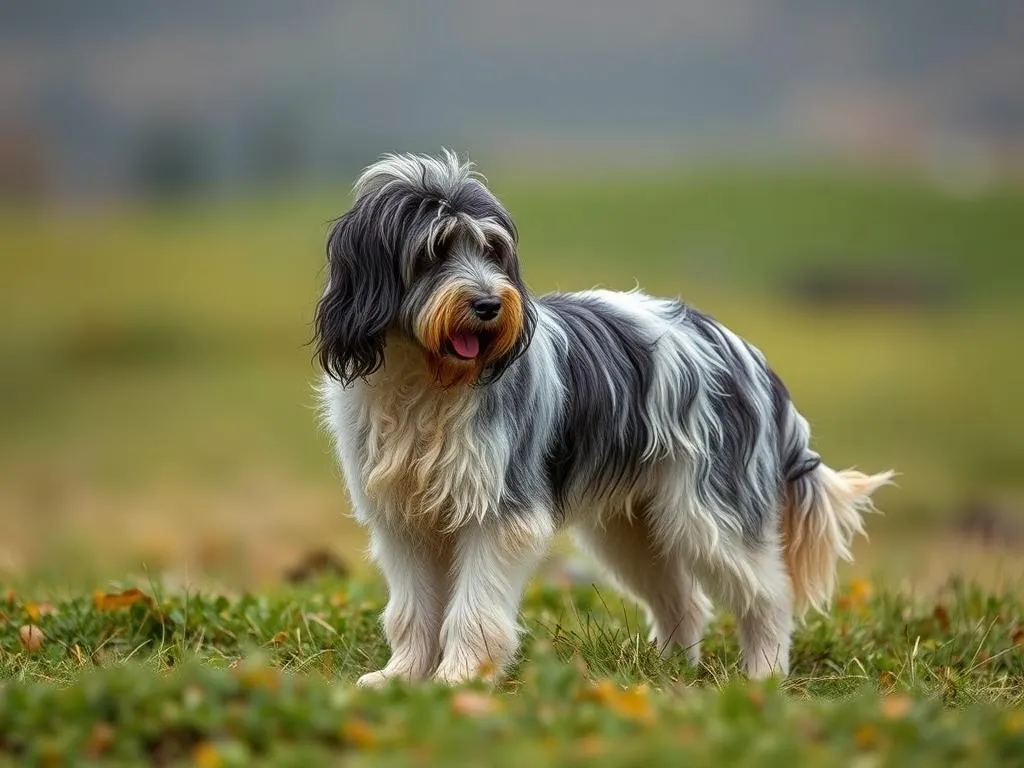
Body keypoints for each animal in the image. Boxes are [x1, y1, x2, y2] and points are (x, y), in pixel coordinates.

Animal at [315, 150, 892, 684]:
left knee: (768, 595)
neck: (429, 380)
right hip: (635, 527)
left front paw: (460, 678)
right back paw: (668, 671)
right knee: (685, 601)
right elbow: (411, 611)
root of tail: (744, 350)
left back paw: (764, 677)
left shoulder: (499, 514)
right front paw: (401, 677)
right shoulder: (401, 521)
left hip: (712, 513)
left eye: (493, 251)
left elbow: (473, 612)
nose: (488, 305)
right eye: (433, 252)